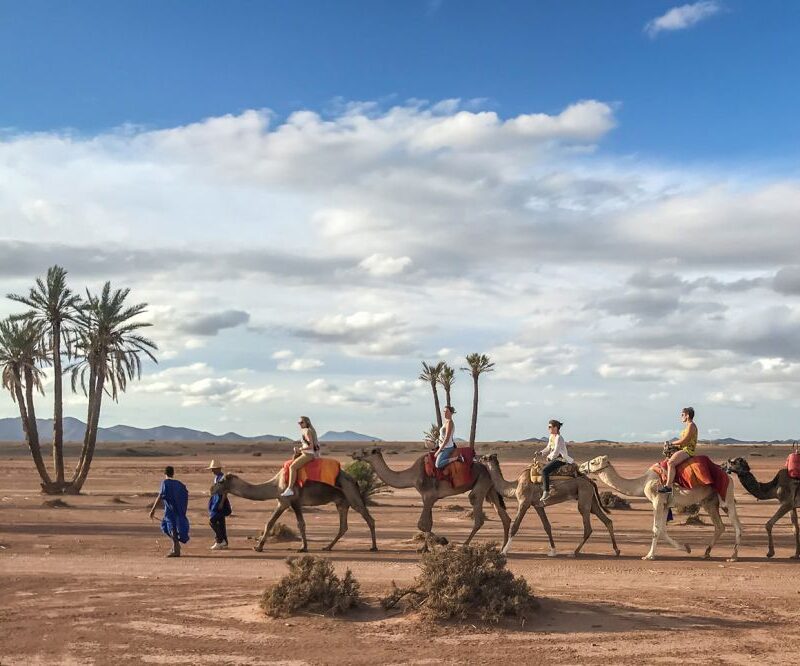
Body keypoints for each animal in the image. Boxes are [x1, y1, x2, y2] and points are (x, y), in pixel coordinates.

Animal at [211, 470, 376, 552]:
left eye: (221, 481)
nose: (211, 489)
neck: (276, 485)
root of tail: (354, 480)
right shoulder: (282, 503)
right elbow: (269, 523)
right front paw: (258, 547)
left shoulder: (295, 501)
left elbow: (300, 524)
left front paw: (303, 548)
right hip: (341, 502)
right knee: (343, 526)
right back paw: (327, 547)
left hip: (352, 497)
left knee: (369, 518)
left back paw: (373, 547)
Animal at [348, 446, 510, 548]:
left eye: (366, 451)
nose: (354, 454)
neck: (412, 476)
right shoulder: (429, 498)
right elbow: (428, 523)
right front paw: (428, 547)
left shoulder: (429, 496)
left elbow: (422, 524)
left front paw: (436, 544)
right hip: (490, 488)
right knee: (504, 517)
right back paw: (503, 547)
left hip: (481, 484)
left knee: (477, 511)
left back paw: (464, 545)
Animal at [478, 452, 620, 556]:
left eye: (484, 457)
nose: (476, 457)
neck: (515, 485)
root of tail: (590, 481)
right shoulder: (537, 505)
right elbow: (547, 526)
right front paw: (553, 551)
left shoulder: (524, 502)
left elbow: (515, 526)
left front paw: (504, 551)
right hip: (591, 499)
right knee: (607, 520)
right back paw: (616, 550)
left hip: (584, 497)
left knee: (588, 527)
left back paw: (574, 552)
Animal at [580, 454, 744, 556]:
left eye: (593, 462)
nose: (581, 466)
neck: (643, 482)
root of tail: (728, 476)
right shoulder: (665, 504)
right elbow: (663, 530)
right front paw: (686, 548)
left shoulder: (657, 500)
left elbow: (655, 528)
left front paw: (649, 555)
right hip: (709, 502)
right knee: (720, 526)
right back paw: (706, 553)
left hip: (727, 497)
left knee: (737, 524)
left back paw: (733, 556)